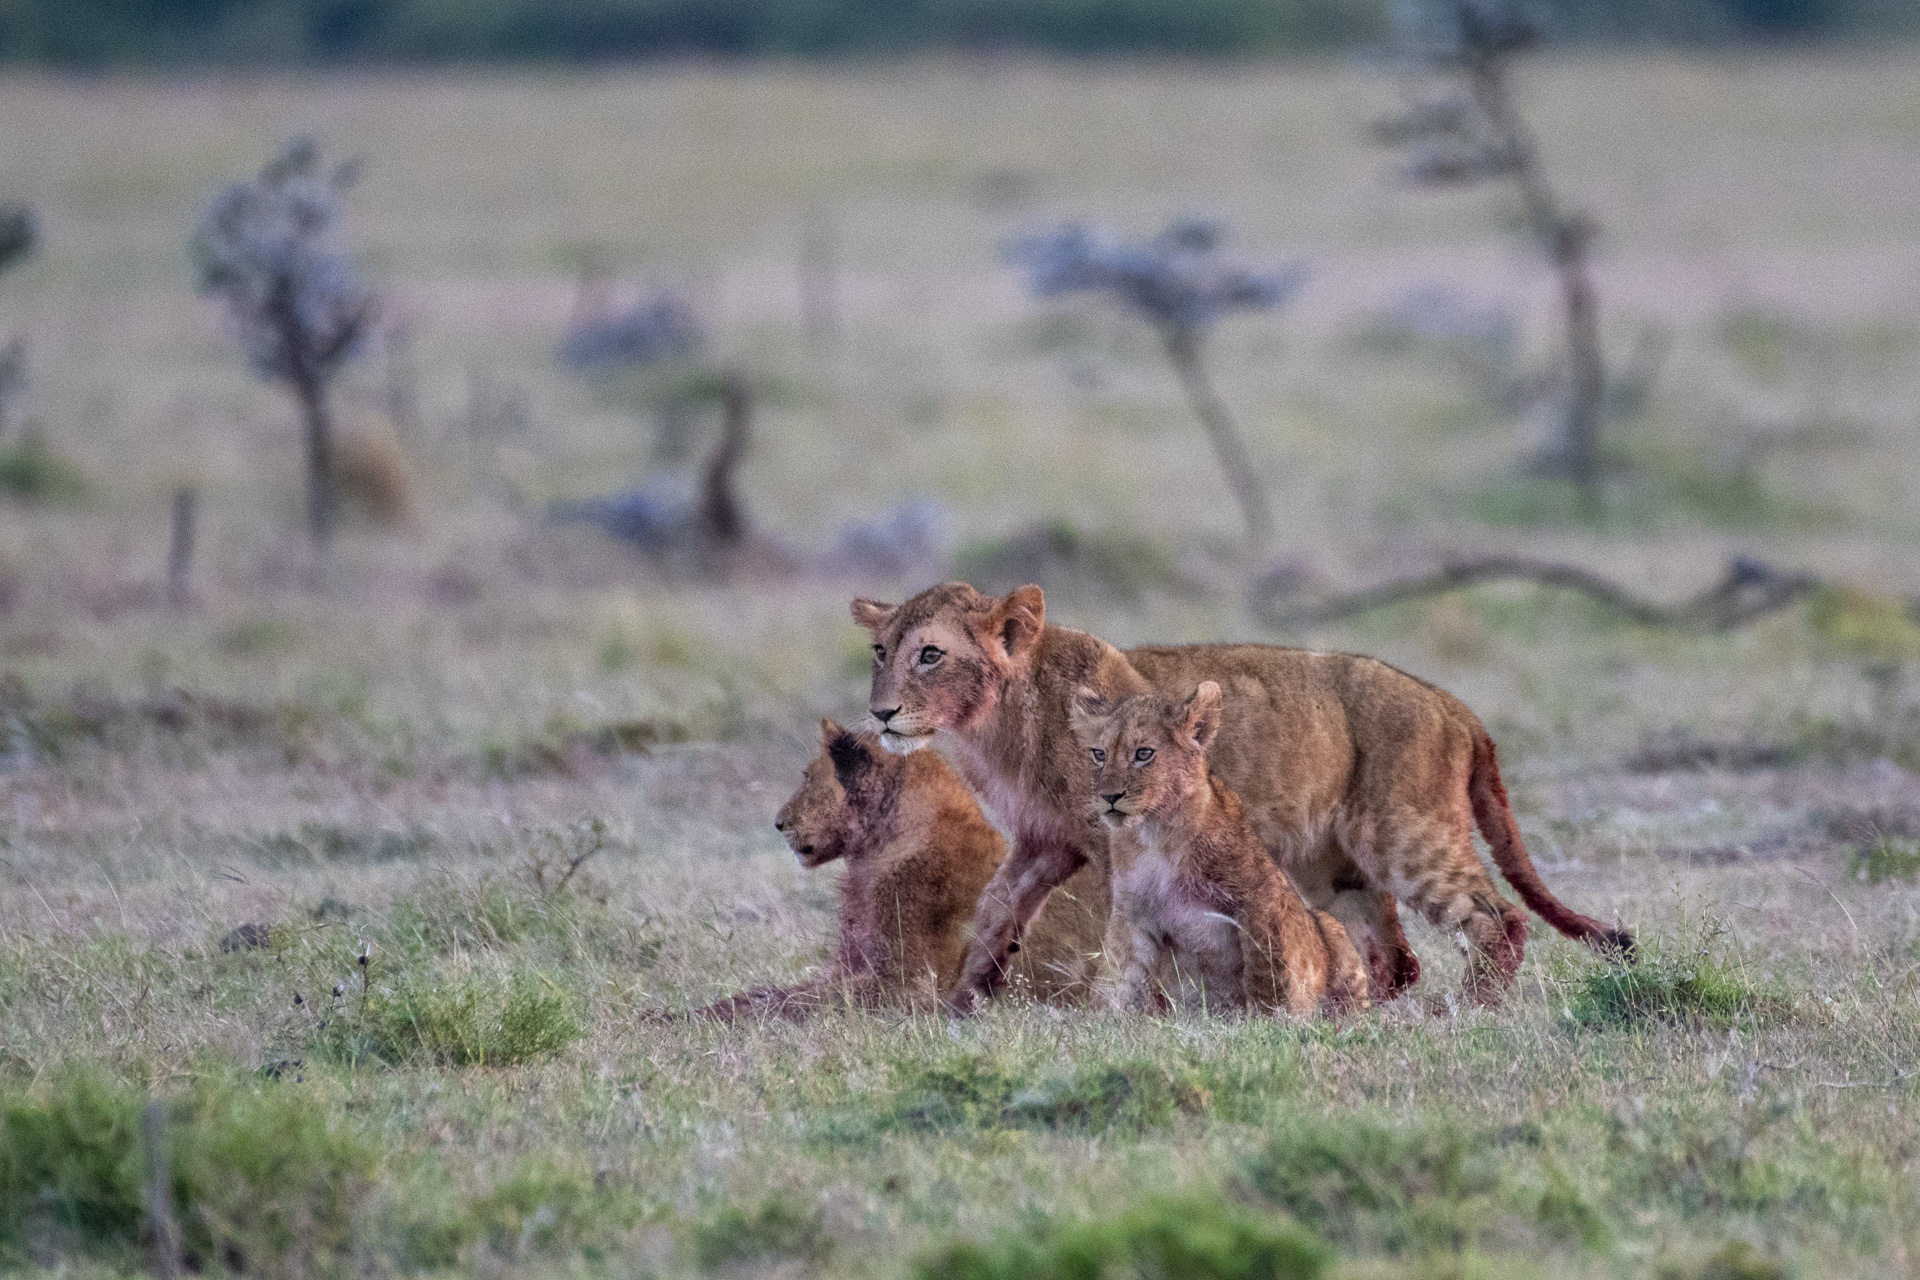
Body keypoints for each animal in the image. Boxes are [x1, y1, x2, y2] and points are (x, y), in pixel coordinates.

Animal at [688, 719, 1105, 1020]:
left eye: (807, 778)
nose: (778, 823)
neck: (870, 858)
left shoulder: (907, 986)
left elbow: (797, 1002)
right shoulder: (848, 966)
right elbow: (764, 993)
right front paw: (685, 1015)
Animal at [1070, 681, 1369, 1018]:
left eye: (1143, 753)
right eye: (1099, 754)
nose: (1109, 797)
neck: (1156, 834)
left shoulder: (1260, 902)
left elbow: (1267, 971)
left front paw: (1269, 1021)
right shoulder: (1133, 912)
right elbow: (1116, 974)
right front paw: (1099, 1018)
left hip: (1332, 929)